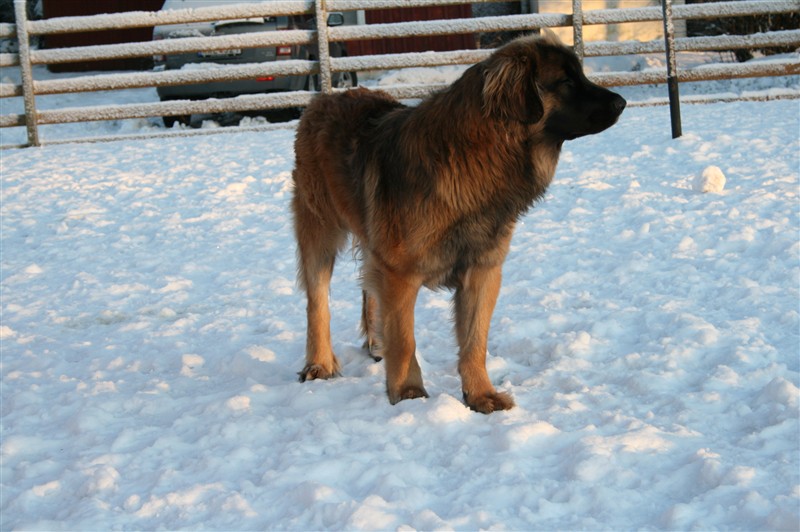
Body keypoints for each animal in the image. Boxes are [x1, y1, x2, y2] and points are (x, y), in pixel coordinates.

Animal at [288, 31, 624, 414]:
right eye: (567, 81)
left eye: (580, 75)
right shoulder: (400, 273)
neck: (479, 156)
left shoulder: (482, 269)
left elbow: (475, 341)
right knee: (317, 301)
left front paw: (481, 395)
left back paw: (375, 343)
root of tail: (324, 98)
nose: (622, 102)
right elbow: (405, 340)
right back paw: (319, 363)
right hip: (319, 228)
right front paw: (408, 394)